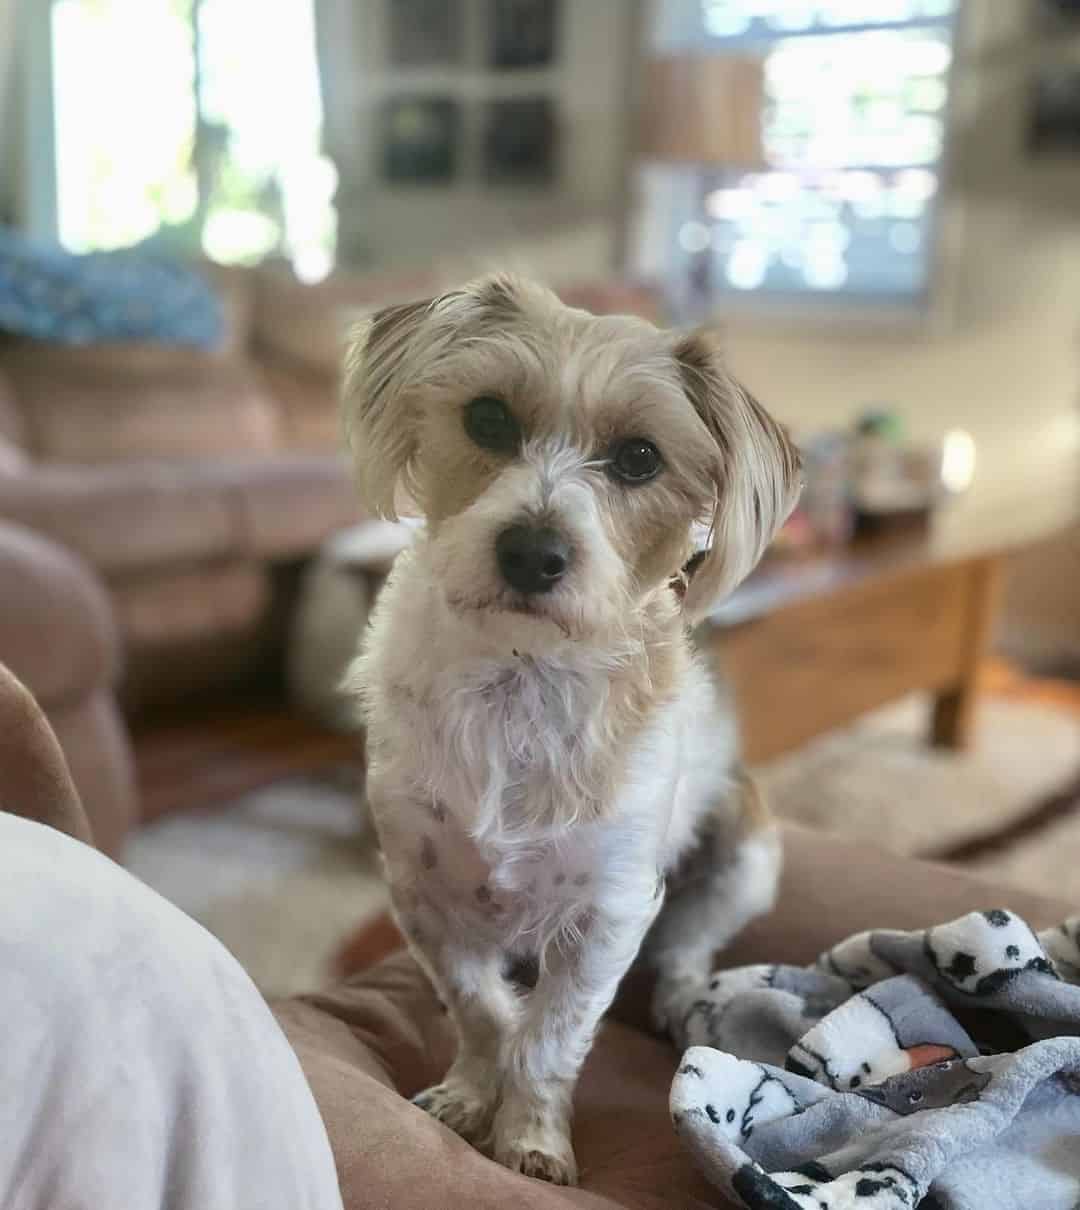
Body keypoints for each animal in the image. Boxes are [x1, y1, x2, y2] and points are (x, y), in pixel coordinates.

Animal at [343, 272, 803, 1180]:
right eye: (487, 418)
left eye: (640, 458)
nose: (533, 552)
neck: (519, 682)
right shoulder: (422, 891)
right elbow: (484, 1009)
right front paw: (469, 1096)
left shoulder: (608, 914)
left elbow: (550, 1037)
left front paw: (530, 1137)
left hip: (744, 854)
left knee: (689, 948)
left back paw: (685, 1000)